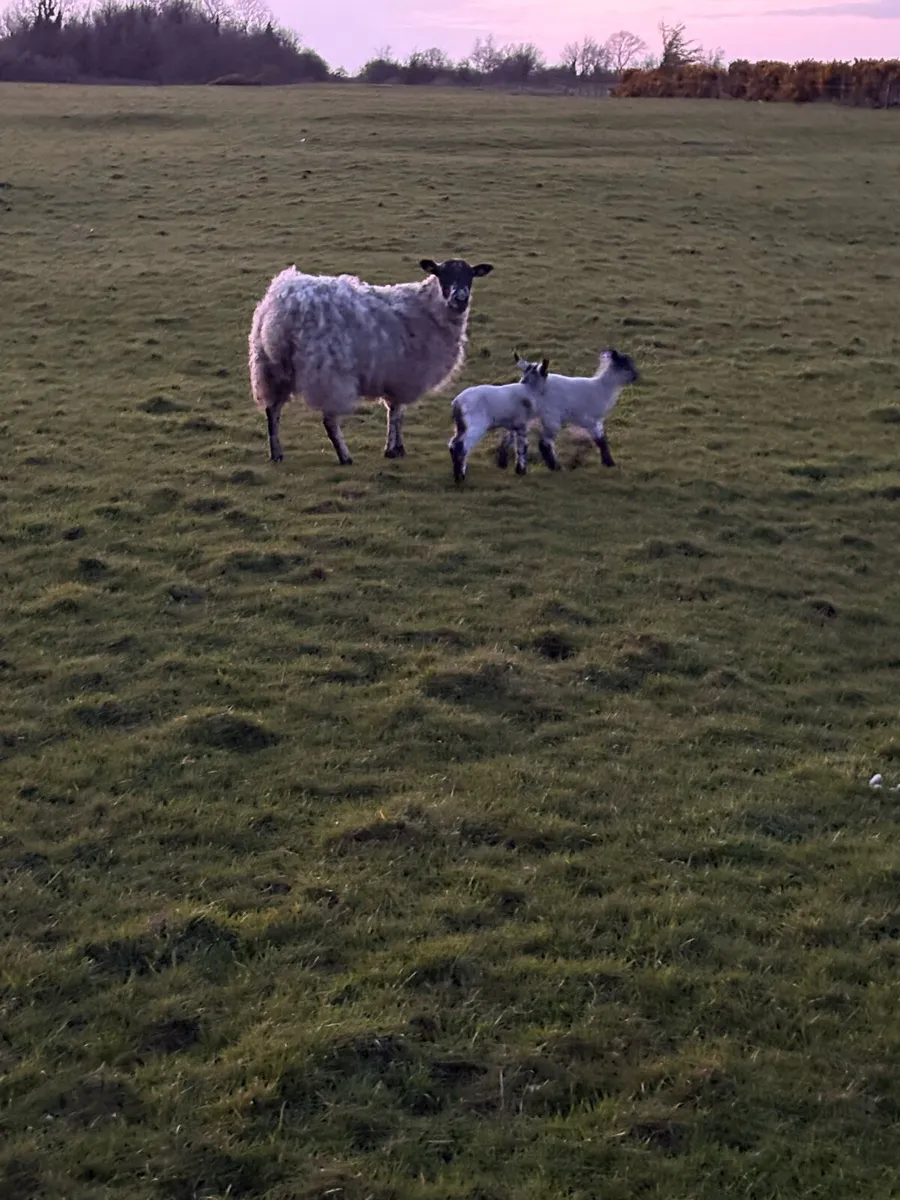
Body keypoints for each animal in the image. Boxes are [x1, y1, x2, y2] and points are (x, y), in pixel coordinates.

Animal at [249, 256, 495, 466]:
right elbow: (395, 413)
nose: (460, 298)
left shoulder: (396, 376)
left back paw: (276, 453)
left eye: (470, 276)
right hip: (328, 372)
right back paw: (344, 456)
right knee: (329, 420)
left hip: (271, 368)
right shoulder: (403, 376)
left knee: (272, 411)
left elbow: (397, 413)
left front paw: (397, 447)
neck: (428, 310)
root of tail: (283, 307)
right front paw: (392, 449)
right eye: (443, 274)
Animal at [447, 352, 550, 482]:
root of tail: (457, 402)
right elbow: (522, 446)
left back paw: (458, 472)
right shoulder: (522, 424)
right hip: (476, 426)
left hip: (461, 426)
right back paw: (460, 476)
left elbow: (509, 441)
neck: (530, 389)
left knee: (453, 443)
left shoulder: (513, 424)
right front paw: (521, 470)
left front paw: (504, 463)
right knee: (462, 446)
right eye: (545, 373)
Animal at [496, 348, 640, 472]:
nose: (636, 376)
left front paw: (607, 462)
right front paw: (610, 463)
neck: (603, 387)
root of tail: (527, 384)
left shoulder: (597, 421)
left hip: (527, 416)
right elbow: (601, 441)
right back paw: (556, 468)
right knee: (544, 444)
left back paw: (503, 464)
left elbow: (602, 440)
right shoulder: (590, 420)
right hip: (552, 418)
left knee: (509, 437)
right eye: (627, 366)